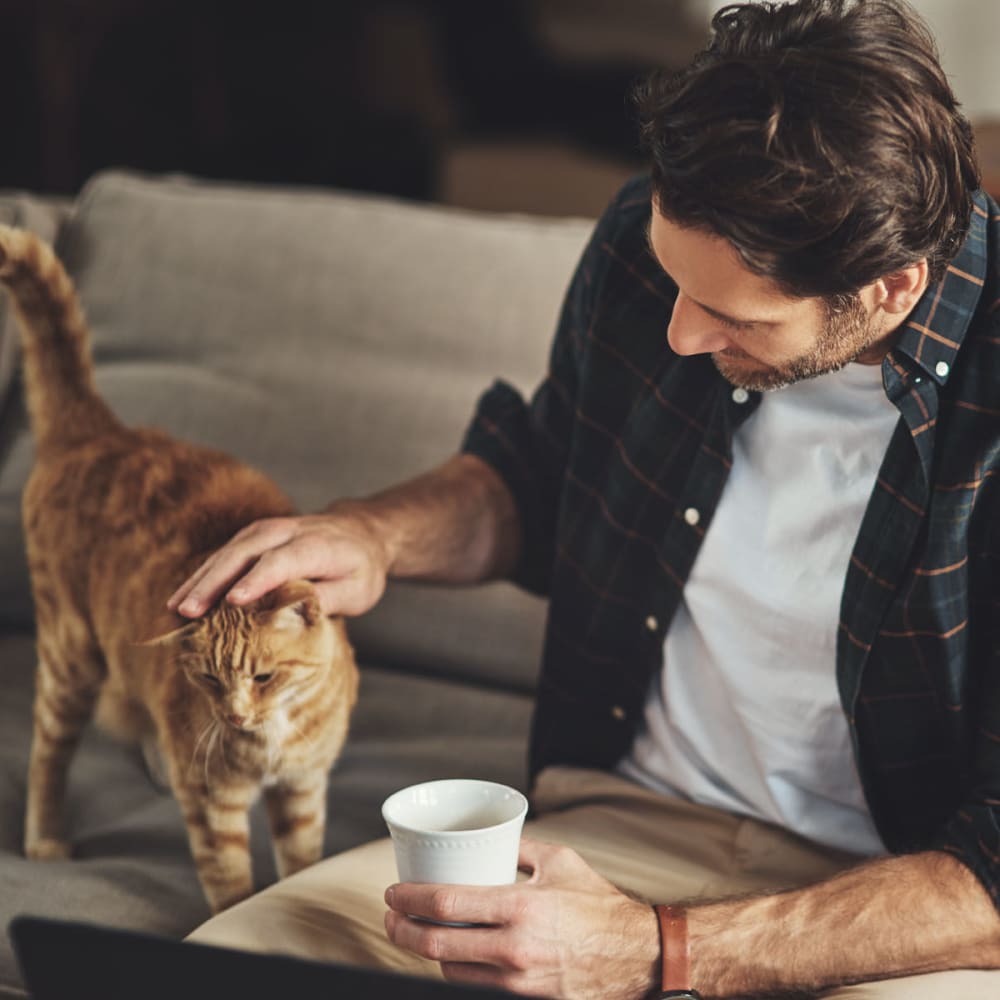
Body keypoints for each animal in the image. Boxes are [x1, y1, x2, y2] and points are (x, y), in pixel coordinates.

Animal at [0, 223, 360, 912]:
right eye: (211, 682)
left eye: (265, 678)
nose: (235, 716)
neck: (269, 741)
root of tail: (101, 431)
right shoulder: (213, 804)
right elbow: (231, 885)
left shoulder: (302, 790)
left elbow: (300, 864)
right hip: (70, 657)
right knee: (47, 755)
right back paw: (45, 837)